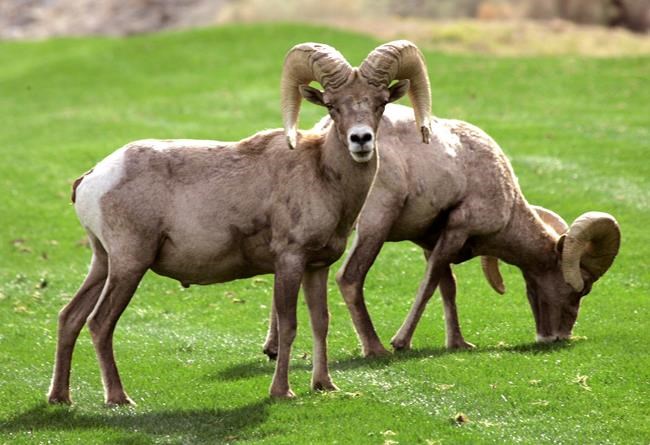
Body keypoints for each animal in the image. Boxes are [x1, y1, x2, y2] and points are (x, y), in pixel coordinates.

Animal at [47, 41, 433, 404]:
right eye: (332, 105)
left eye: (379, 103)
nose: (361, 140)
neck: (323, 175)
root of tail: (92, 179)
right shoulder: (289, 261)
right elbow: (288, 325)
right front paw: (282, 392)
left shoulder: (316, 267)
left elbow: (320, 323)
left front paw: (324, 385)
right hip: (129, 264)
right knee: (100, 323)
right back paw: (118, 398)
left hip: (103, 263)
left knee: (70, 317)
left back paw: (61, 397)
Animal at [264, 103, 620, 358]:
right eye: (580, 289)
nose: (557, 336)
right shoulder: (456, 230)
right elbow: (431, 282)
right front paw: (401, 342)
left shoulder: (430, 240)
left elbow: (447, 287)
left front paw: (459, 343)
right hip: (375, 224)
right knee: (349, 278)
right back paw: (375, 348)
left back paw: (273, 349)